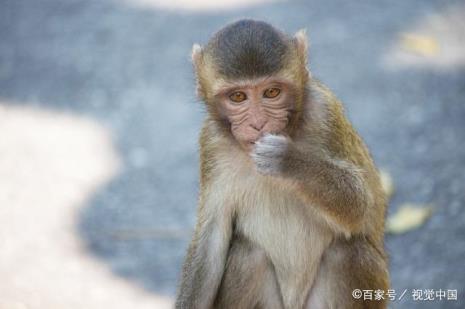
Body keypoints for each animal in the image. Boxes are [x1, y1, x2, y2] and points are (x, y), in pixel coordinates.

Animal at [174, 19, 388, 308]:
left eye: (272, 92)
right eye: (238, 97)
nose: (258, 123)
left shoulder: (325, 113)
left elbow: (362, 205)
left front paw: (289, 161)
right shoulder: (212, 143)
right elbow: (210, 244)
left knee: (348, 252)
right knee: (247, 256)